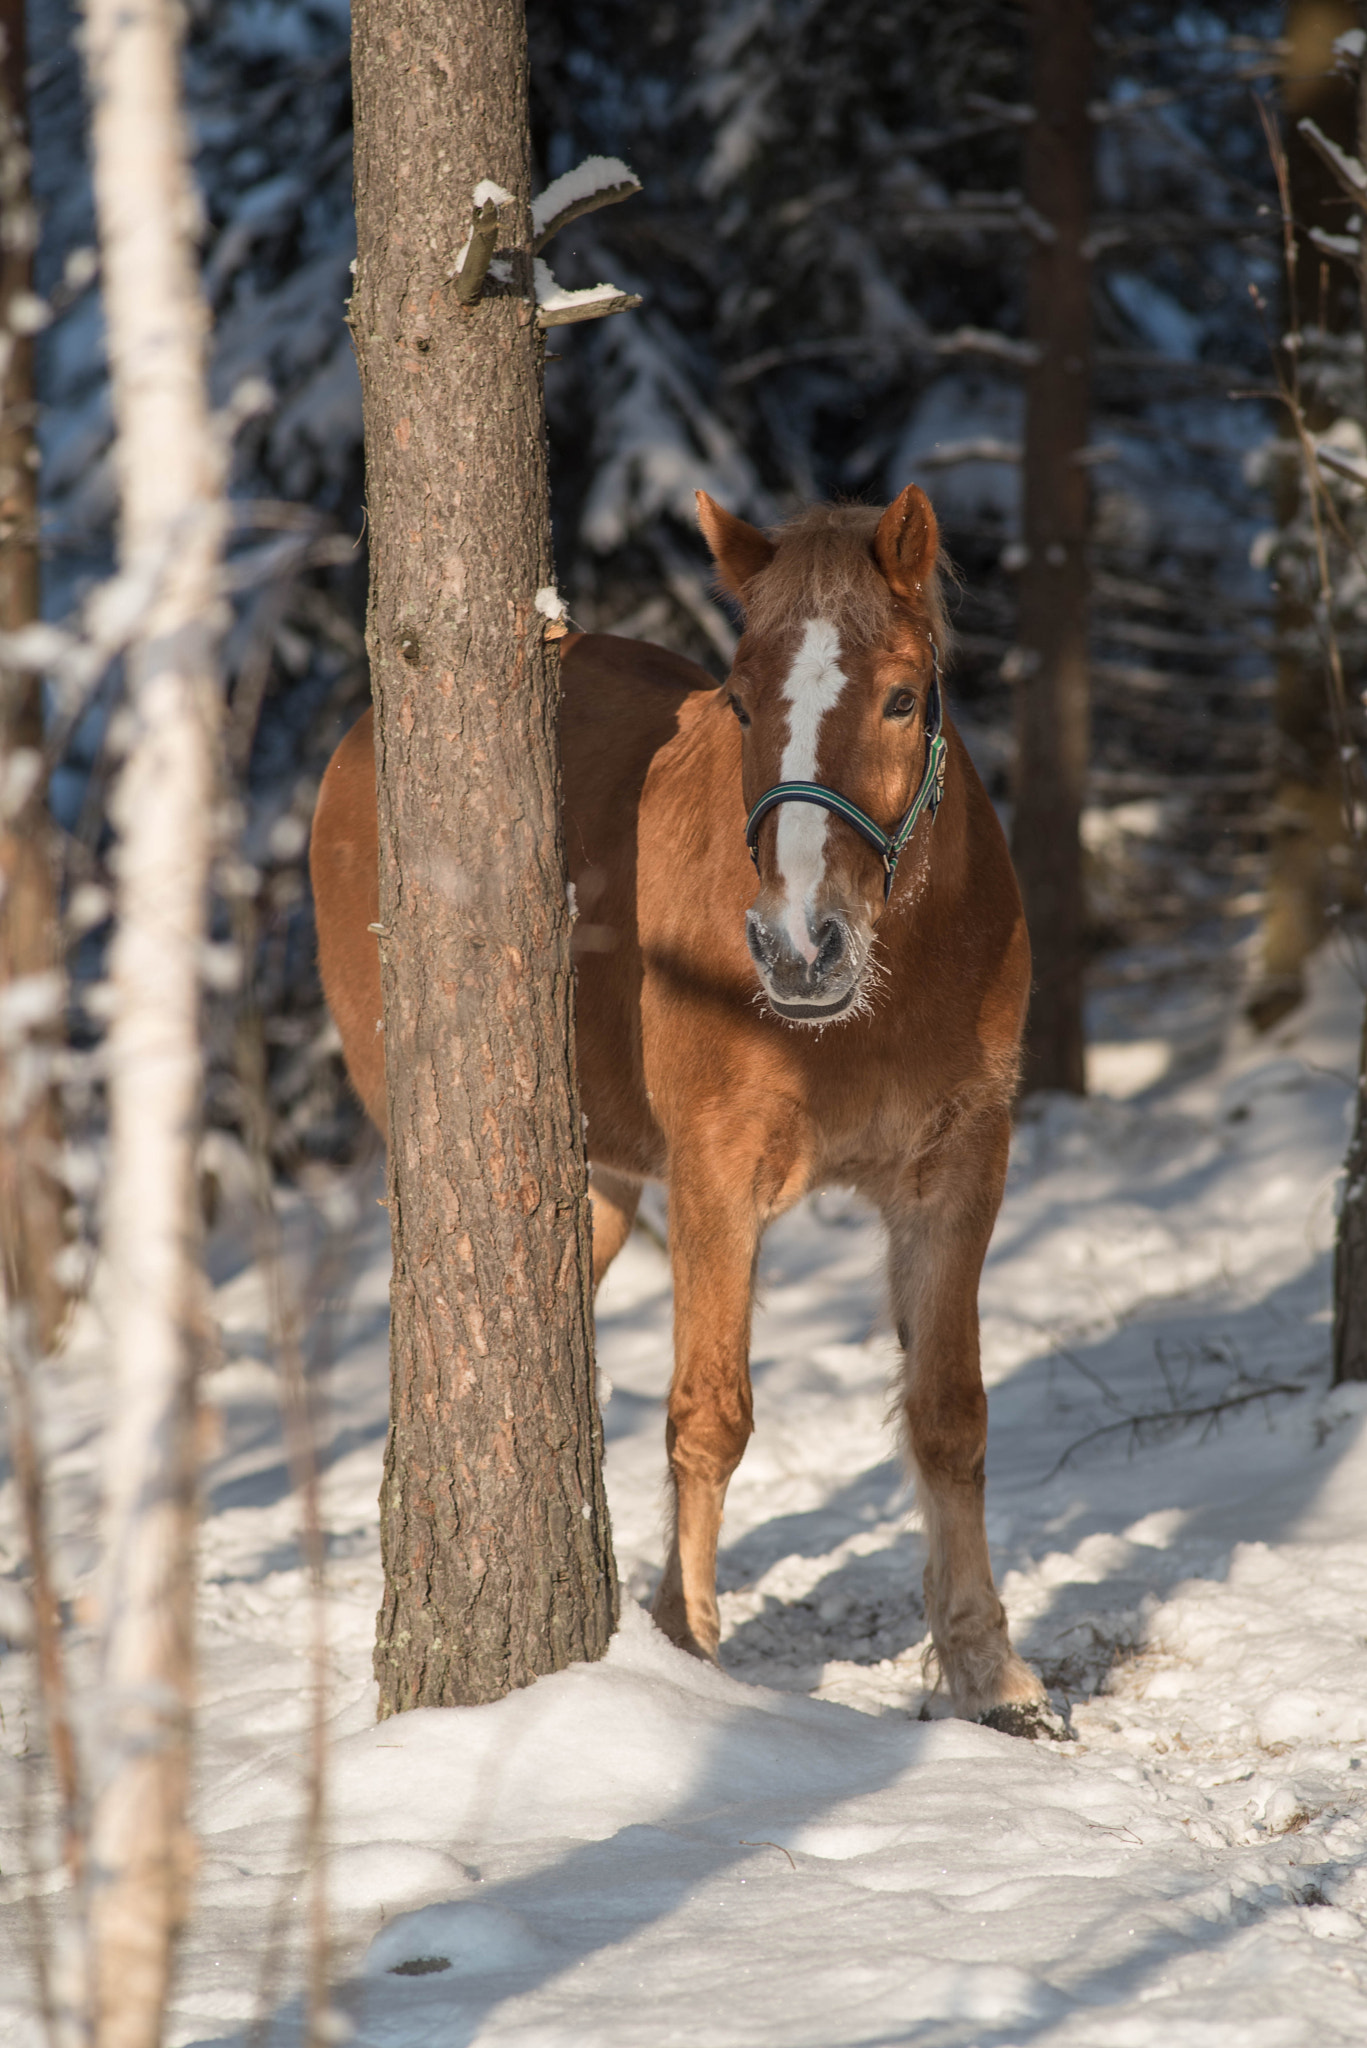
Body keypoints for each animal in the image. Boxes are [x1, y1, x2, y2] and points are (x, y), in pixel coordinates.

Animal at [315, 487, 1057, 1736]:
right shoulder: (719, 1174)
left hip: (598, 1186)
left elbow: (948, 1413)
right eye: (742, 700)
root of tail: (360, 742)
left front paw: (986, 1669)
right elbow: (710, 1414)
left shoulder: (957, 1172)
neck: (878, 993)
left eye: (902, 697)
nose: (799, 945)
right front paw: (687, 1644)